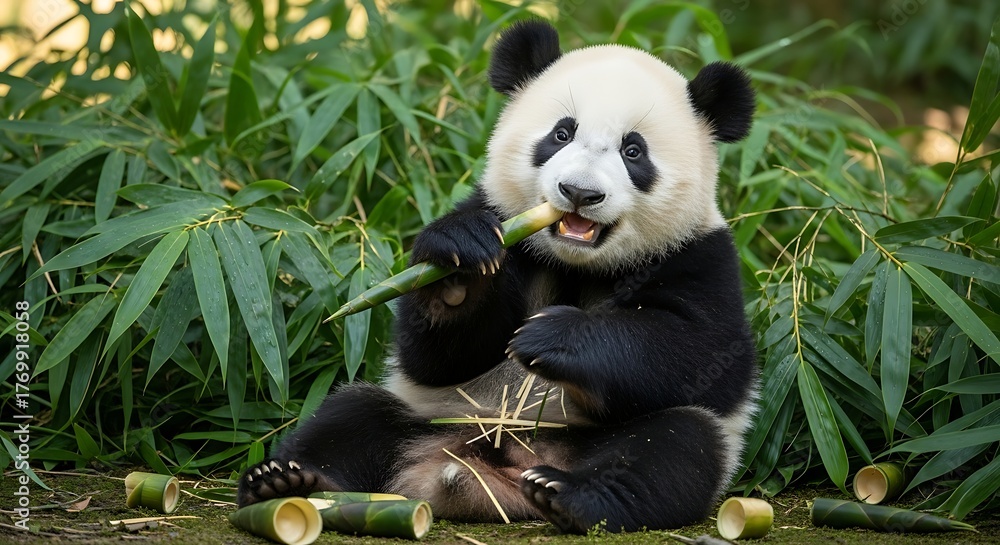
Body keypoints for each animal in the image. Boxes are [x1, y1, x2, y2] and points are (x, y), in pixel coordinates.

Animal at [237, 20, 759, 534]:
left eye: (634, 151)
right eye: (561, 134)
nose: (579, 192)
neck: (574, 261)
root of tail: (486, 474)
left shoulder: (701, 257)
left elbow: (694, 351)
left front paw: (552, 338)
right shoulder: (503, 222)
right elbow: (435, 358)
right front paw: (458, 267)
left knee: (674, 447)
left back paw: (571, 495)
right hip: (429, 415)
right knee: (351, 416)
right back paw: (286, 481)